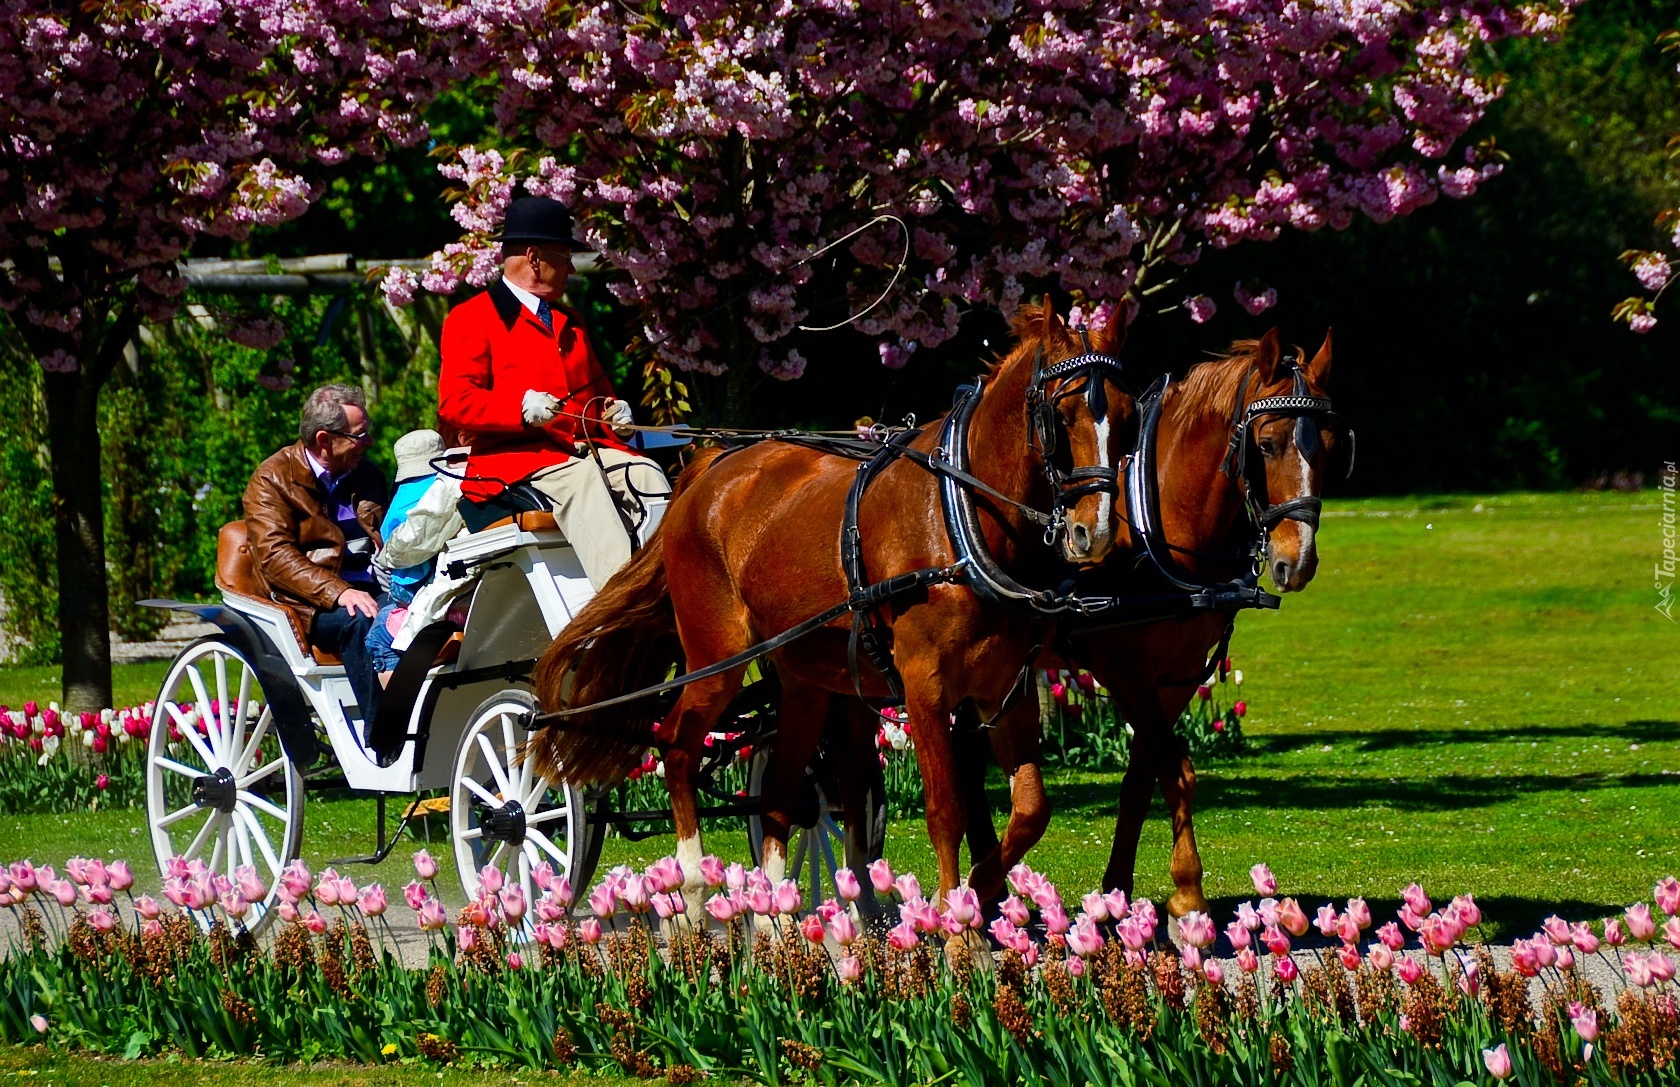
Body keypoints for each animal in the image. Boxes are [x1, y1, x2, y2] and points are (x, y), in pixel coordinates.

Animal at [534, 299, 1142, 907]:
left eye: (1128, 416)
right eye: (1062, 416)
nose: (1095, 532)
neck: (961, 516)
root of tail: (709, 468)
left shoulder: (1004, 688)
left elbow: (1031, 811)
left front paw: (980, 890)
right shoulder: (924, 687)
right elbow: (947, 811)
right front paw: (952, 918)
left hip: (804, 681)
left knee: (781, 792)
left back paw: (772, 912)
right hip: (714, 658)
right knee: (677, 746)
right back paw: (691, 885)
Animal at [967, 329, 1344, 920]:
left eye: (1328, 445)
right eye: (1266, 445)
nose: (1297, 561)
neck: (1156, 517)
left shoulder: (1177, 672)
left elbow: (1144, 775)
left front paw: (1117, 889)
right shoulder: (1124, 665)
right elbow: (1176, 768)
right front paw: (1187, 891)